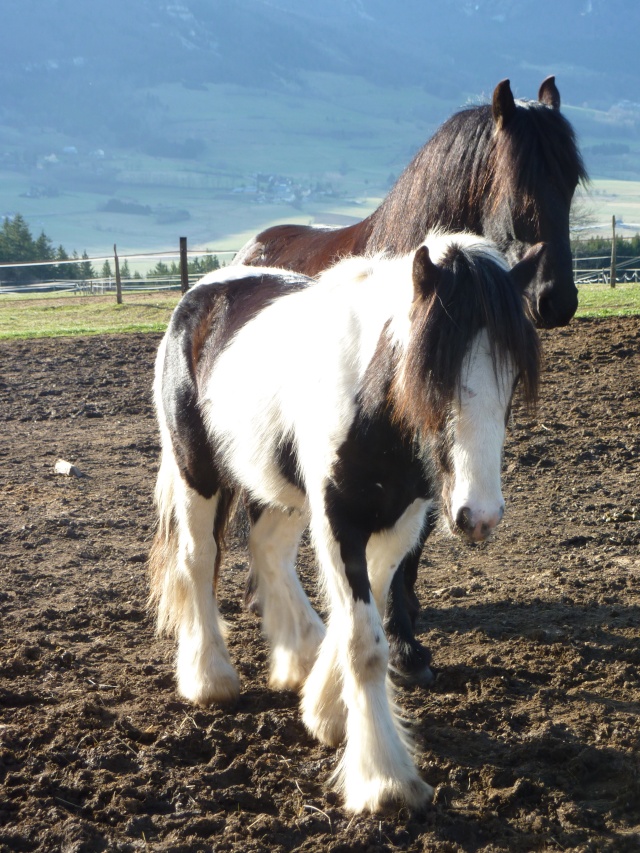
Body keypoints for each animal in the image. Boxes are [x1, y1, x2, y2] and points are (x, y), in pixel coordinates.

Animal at [152, 231, 544, 812]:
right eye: (432, 373)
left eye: (512, 374)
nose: (480, 516)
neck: (373, 403)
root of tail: (202, 293)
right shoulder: (339, 519)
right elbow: (365, 645)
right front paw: (385, 778)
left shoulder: (400, 523)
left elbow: (362, 617)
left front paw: (326, 710)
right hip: (196, 472)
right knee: (198, 562)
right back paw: (210, 677)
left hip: (284, 493)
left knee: (270, 553)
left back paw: (297, 657)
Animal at [232, 75, 588, 684]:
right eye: (520, 186)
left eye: (569, 186)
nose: (556, 300)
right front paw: (399, 644)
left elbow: (411, 544)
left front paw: (405, 631)